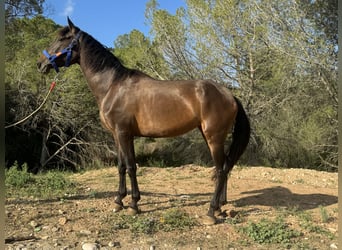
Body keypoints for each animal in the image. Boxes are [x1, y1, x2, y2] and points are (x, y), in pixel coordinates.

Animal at [38, 17, 251, 225]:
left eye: (62, 38)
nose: (40, 64)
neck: (113, 86)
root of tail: (229, 94)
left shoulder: (123, 133)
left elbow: (132, 167)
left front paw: (133, 205)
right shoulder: (119, 135)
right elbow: (121, 166)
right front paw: (119, 201)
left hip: (214, 137)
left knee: (221, 170)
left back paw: (211, 211)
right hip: (210, 136)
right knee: (225, 167)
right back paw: (221, 207)